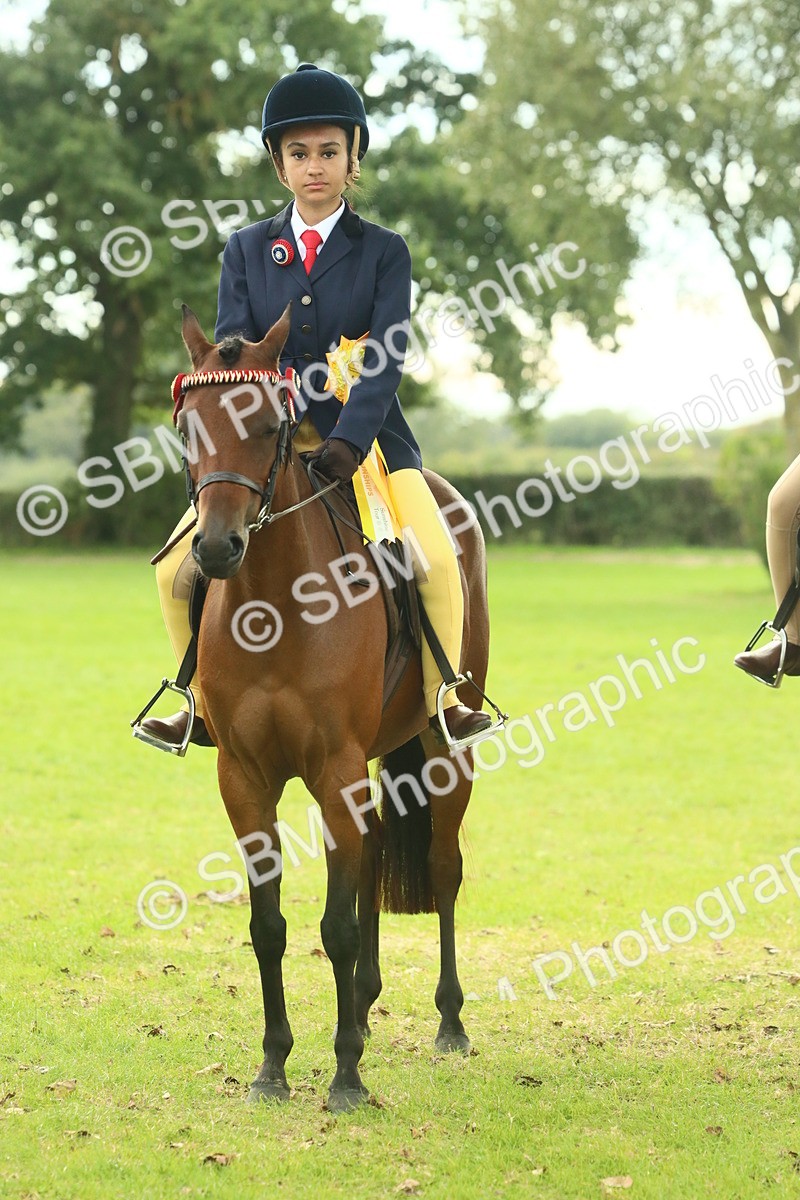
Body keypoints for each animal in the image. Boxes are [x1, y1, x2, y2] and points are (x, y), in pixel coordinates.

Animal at [173, 302, 493, 1111]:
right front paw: (272, 1067)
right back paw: (370, 1005)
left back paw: (449, 1023)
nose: (216, 548)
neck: (275, 607)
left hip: (445, 749)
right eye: (189, 426)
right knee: (375, 846)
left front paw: (346, 1073)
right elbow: (270, 926)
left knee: (442, 866)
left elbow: (337, 927)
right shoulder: (245, 781)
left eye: (266, 426)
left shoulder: (336, 769)